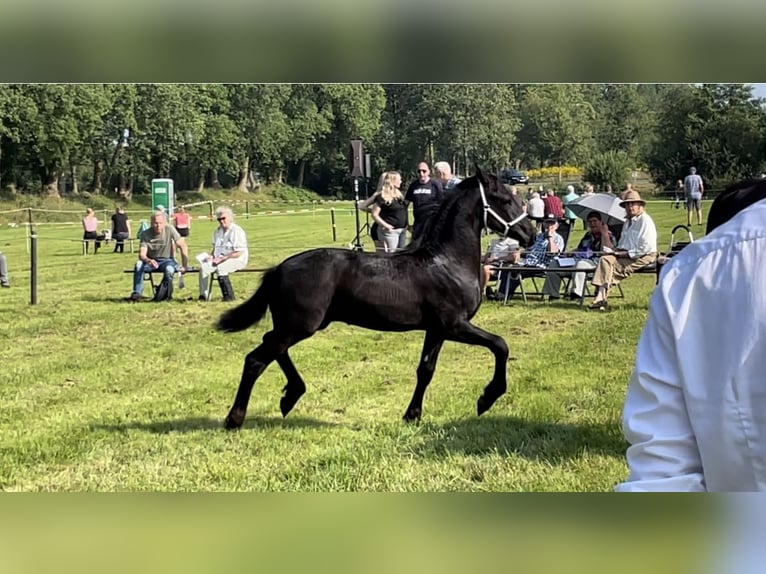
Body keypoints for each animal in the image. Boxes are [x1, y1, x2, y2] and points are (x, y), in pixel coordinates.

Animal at [219, 169, 536, 430]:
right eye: (505, 199)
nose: (530, 234)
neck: (446, 262)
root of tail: (279, 268)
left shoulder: (436, 330)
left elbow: (425, 370)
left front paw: (412, 415)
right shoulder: (454, 325)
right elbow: (500, 345)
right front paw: (487, 398)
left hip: (296, 325)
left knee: (271, 347)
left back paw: (290, 396)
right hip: (299, 325)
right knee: (256, 359)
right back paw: (235, 418)